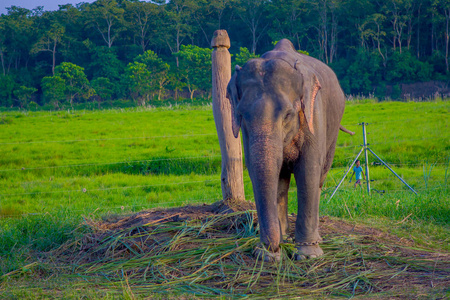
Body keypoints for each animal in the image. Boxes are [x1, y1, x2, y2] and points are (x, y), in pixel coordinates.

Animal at [229, 39, 352, 260]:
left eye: (288, 114)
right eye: (242, 114)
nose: (271, 249)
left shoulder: (314, 116)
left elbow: (308, 169)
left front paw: (308, 255)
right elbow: (258, 168)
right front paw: (269, 255)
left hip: (333, 131)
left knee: (320, 177)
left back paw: (314, 238)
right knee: (282, 181)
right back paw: (285, 235)